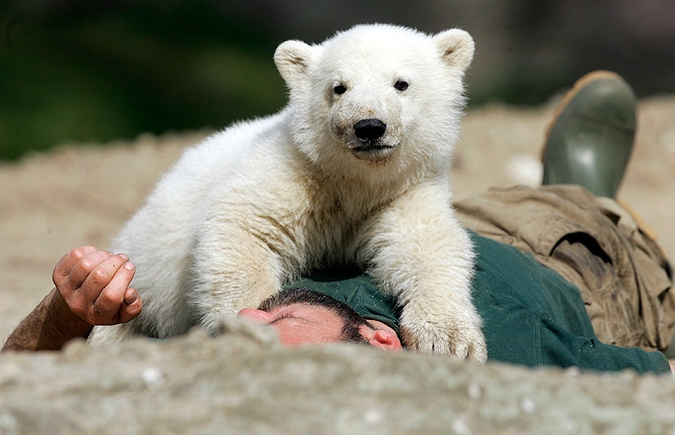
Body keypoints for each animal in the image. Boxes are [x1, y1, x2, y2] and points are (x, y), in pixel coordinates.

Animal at [91, 23, 486, 362]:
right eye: (339, 87)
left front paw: (448, 339)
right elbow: (245, 229)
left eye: (401, 84)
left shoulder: (403, 191)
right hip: (150, 259)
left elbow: (426, 246)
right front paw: (254, 325)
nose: (369, 127)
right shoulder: (294, 174)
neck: (355, 182)